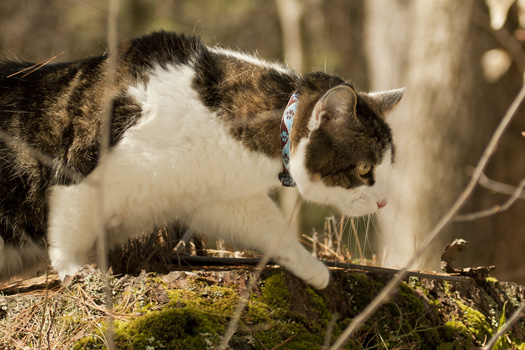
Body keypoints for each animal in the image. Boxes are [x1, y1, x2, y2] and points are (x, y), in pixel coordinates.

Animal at [0, 32, 404, 290]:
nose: (385, 201)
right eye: (364, 169)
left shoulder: (215, 195)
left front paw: (312, 268)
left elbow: (269, 226)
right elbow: (68, 227)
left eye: (388, 167)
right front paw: (75, 270)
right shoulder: (80, 171)